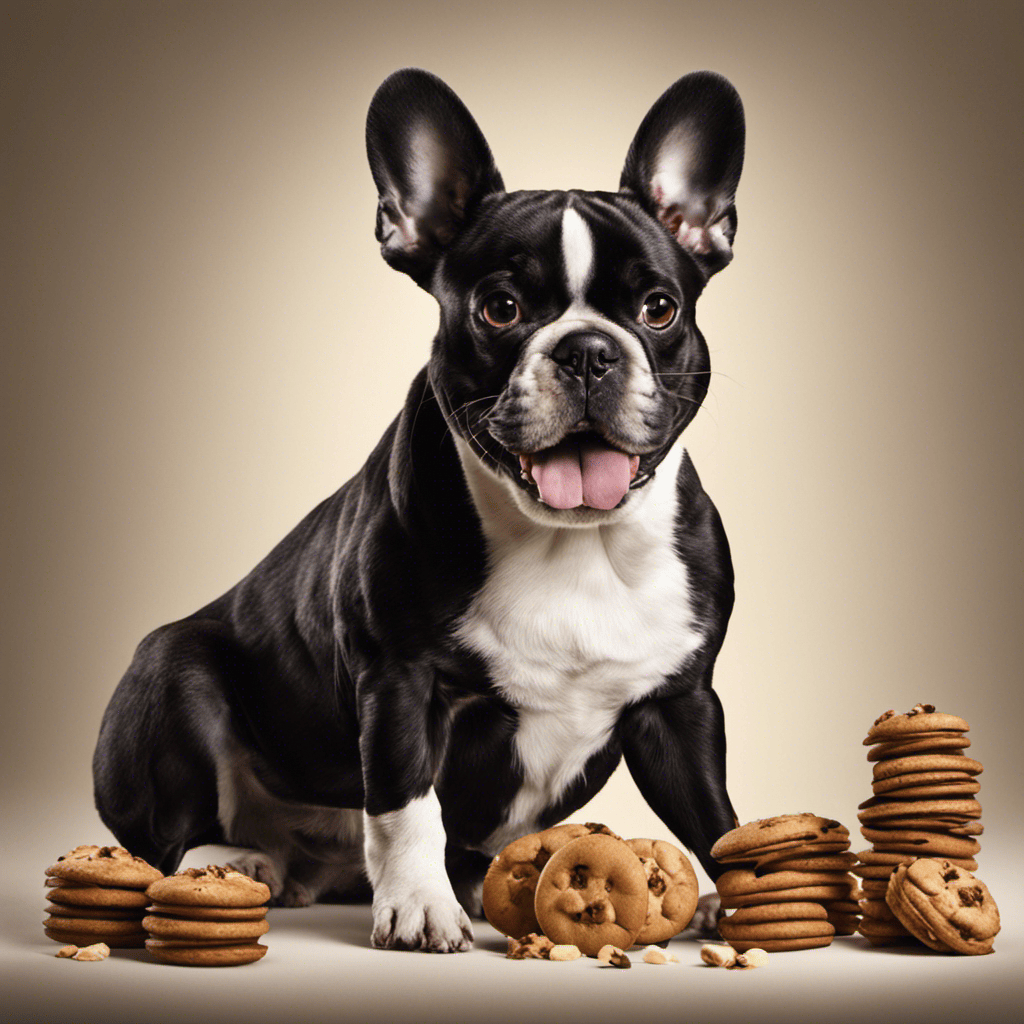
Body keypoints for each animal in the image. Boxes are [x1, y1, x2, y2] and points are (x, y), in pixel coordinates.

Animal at [92, 70, 745, 950]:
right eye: (500, 308)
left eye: (658, 309)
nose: (586, 351)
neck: (572, 542)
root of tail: (319, 869)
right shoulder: (399, 680)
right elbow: (406, 803)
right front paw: (419, 905)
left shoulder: (679, 705)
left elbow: (715, 815)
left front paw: (751, 893)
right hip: (172, 669)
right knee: (170, 836)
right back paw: (237, 862)